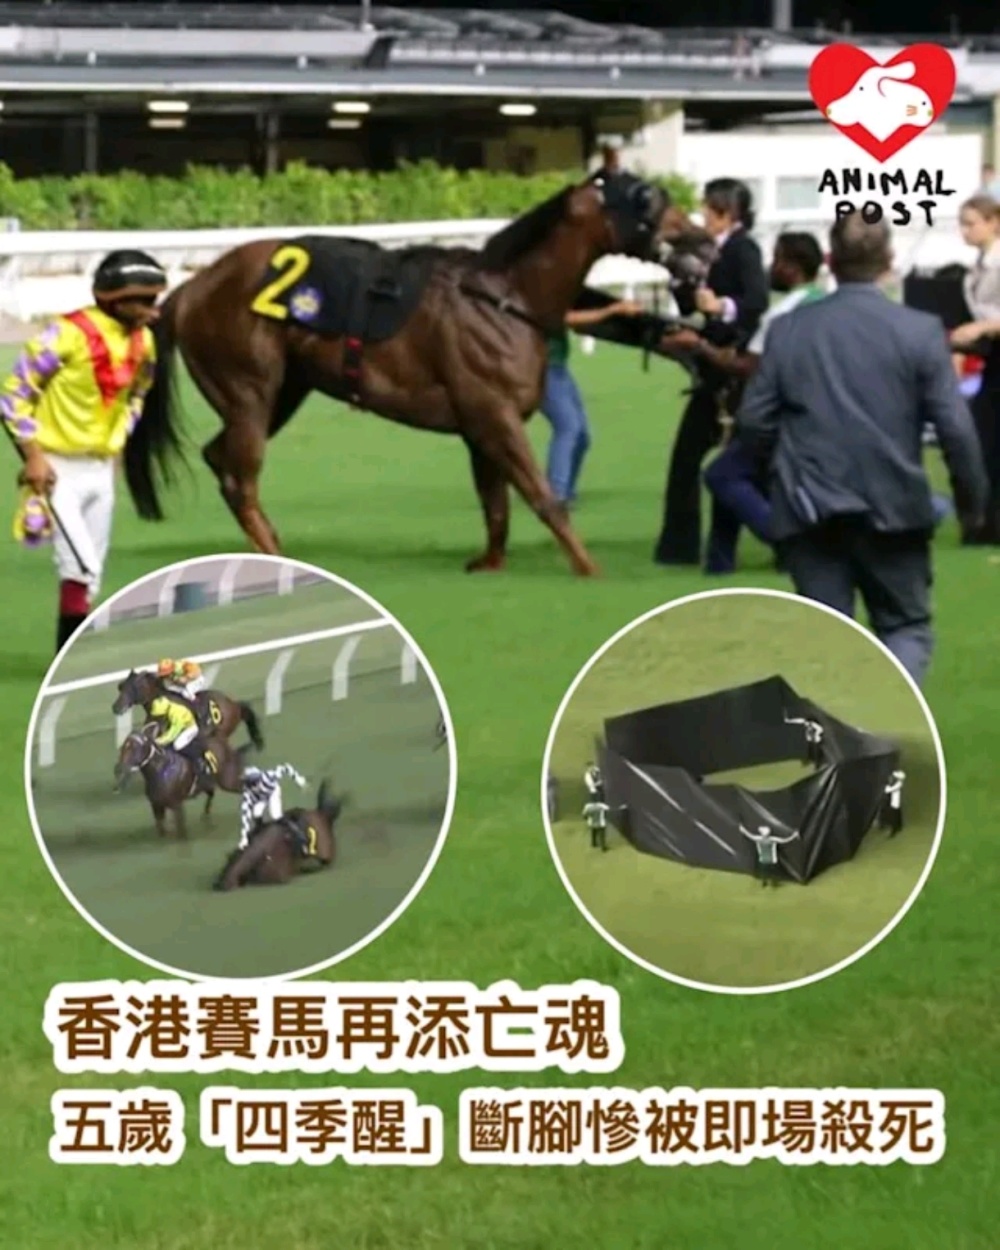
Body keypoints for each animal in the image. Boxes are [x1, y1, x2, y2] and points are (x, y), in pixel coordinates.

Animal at [113, 722, 251, 840]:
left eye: (135, 747)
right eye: (123, 746)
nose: (118, 769)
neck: (161, 770)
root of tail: (221, 739)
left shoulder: (176, 806)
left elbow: (181, 832)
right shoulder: (156, 806)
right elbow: (161, 829)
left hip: (228, 780)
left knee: (242, 787)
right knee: (211, 794)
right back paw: (206, 815)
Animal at [123, 170, 714, 577]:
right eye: (649, 199)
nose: (704, 242)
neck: (506, 297)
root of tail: (189, 291)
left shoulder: (481, 428)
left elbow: (497, 504)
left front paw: (489, 563)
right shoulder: (495, 415)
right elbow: (541, 495)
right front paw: (589, 567)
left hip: (283, 393)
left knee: (220, 460)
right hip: (251, 390)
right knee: (240, 478)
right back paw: (272, 549)